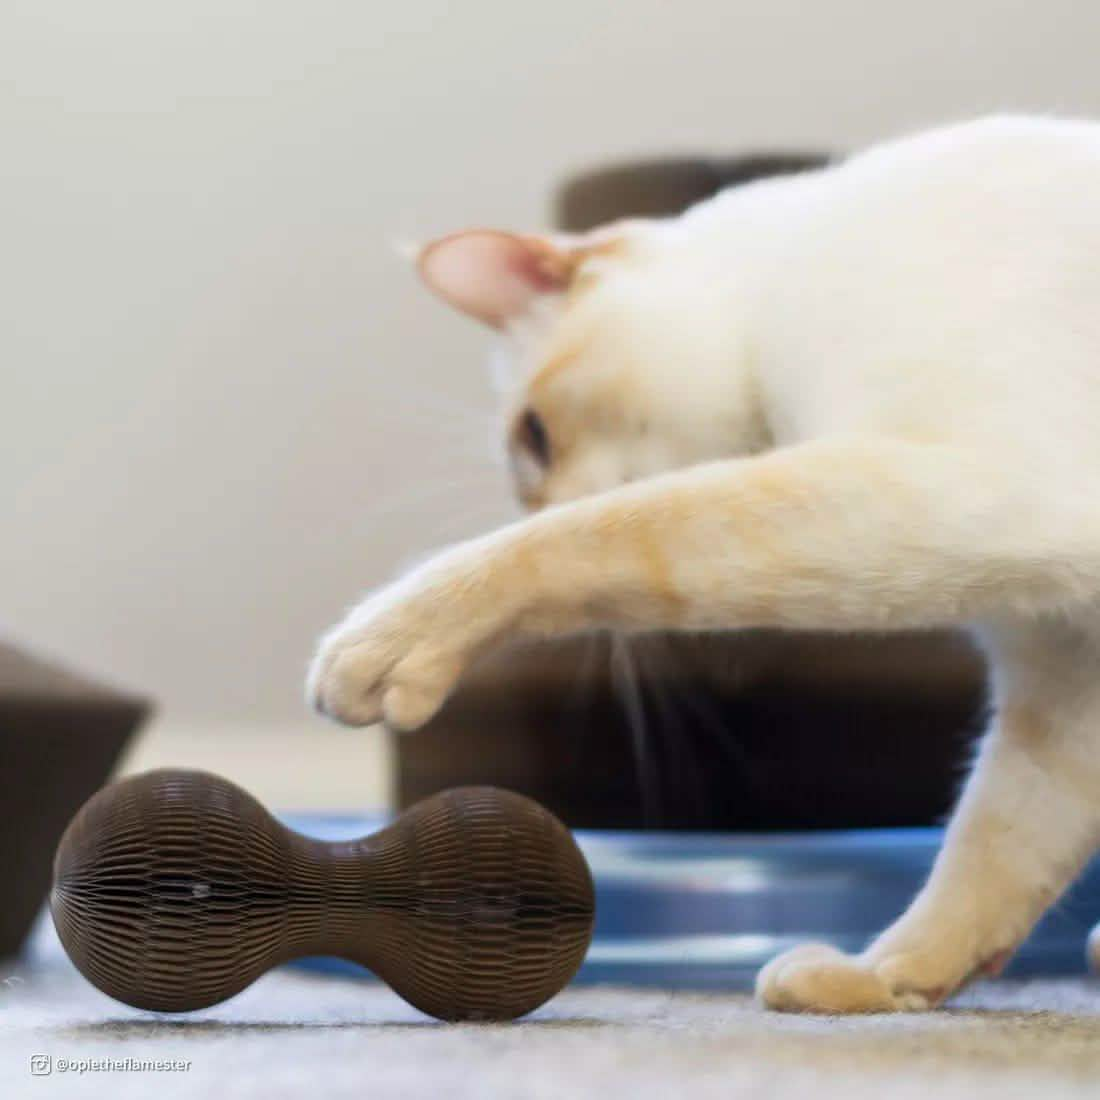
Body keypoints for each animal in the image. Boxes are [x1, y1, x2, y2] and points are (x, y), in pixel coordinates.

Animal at [310, 118, 1100, 1012]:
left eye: (534, 437)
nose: (535, 501)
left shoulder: (964, 486)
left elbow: (602, 536)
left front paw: (379, 643)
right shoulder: (1065, 670)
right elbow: (994, 846)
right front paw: (879, 980)